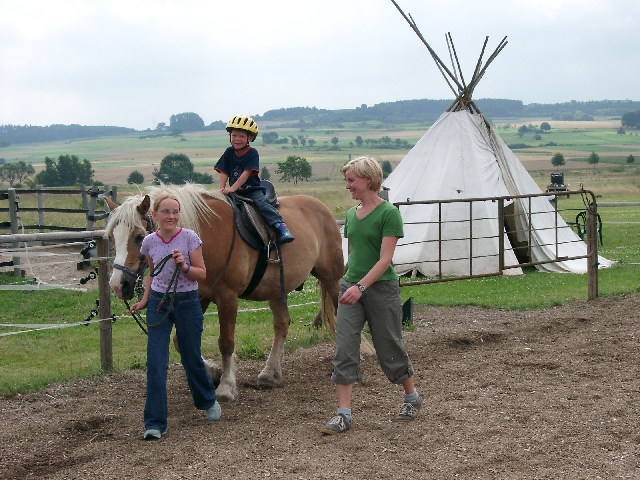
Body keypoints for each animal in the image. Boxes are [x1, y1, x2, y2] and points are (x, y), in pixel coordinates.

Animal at [106, 184, 344, 402]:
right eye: (111, 237)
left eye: (139, 237)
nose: (118, 285)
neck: (205, 237)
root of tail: (321, 207)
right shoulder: (200, 298)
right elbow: (180, 341)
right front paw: (214, 373)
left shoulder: (227, 298)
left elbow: (226, 342)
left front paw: (226, 386)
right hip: (277, 289)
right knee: (282, 325)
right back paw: (270, 374)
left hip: (331, 279)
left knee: (339, 310)